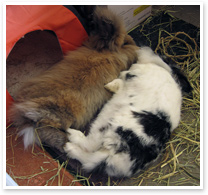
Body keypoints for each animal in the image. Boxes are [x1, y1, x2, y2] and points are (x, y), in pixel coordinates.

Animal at [8, 5, 139, 152]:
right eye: (125, 42)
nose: (134, 42)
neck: (106, 53)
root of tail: (27, 112)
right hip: (61, 118)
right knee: (47, 130)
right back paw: (65, 143)